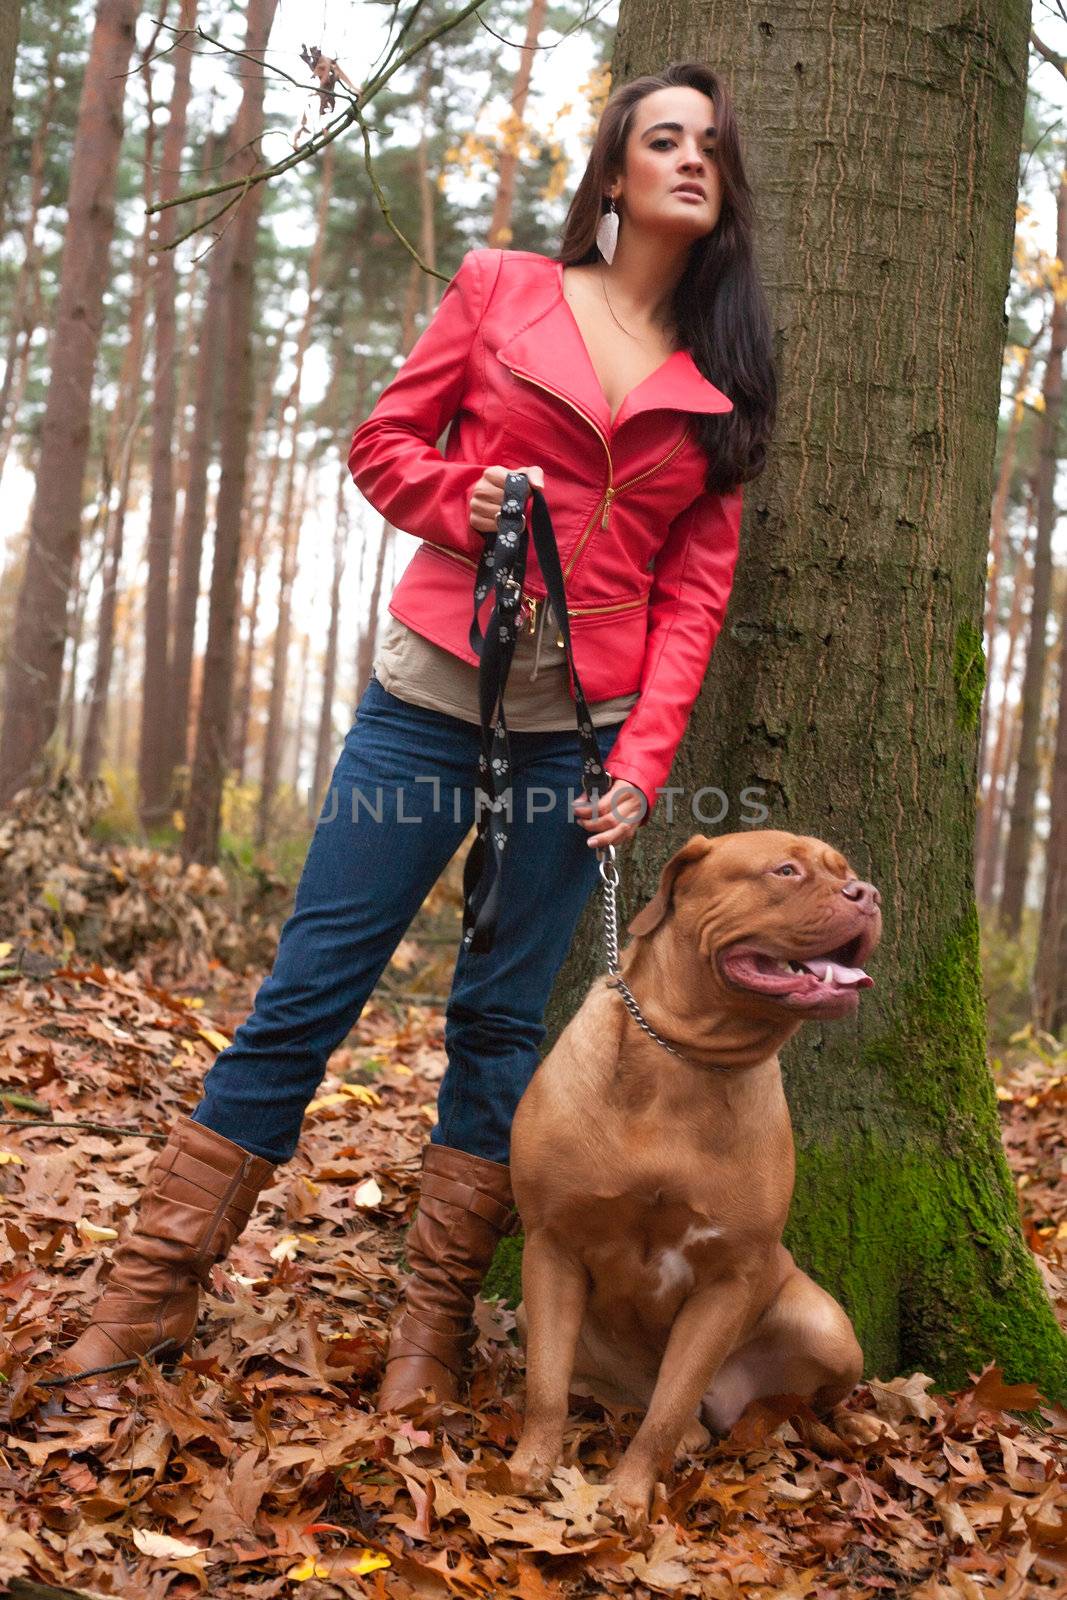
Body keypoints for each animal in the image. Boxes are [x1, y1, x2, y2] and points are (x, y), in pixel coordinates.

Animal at [505, 832, 883, 1529]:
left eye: (847, 872)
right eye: (785, 870)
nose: (867, 894)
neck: (684, 1058)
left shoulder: (727, 1280)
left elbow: (668, 1406)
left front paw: (630, 1497)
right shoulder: (552, 1244)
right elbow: (546, 1384)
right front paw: (526, 1469)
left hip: (831, 1331)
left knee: (804, 1403)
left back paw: (855, 1425)